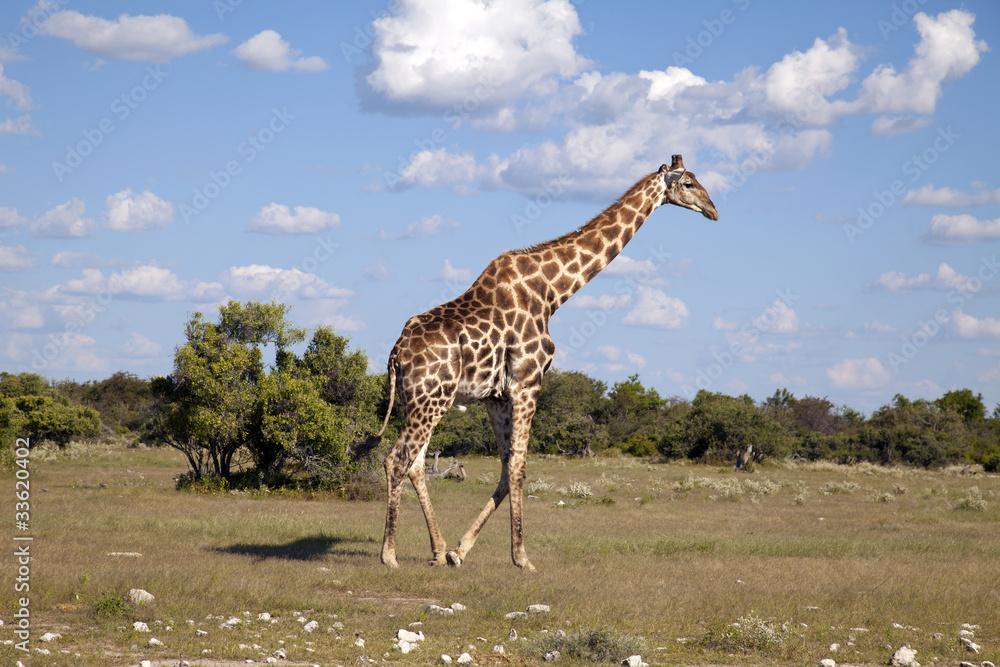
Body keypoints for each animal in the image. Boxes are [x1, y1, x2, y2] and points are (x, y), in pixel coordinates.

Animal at [376, 155, 718, 570]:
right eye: (688, 183)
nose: (714, 211)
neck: (553, 292)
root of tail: (396, 354)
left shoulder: (496, 397)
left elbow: (507, 467)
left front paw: (461, 550)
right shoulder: (529, 381)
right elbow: (520, 467)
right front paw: (522, 557)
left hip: (420, 401)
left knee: (415, 462)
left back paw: (438, 551)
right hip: (432, 398)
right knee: (397, 459)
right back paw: (389, 556)